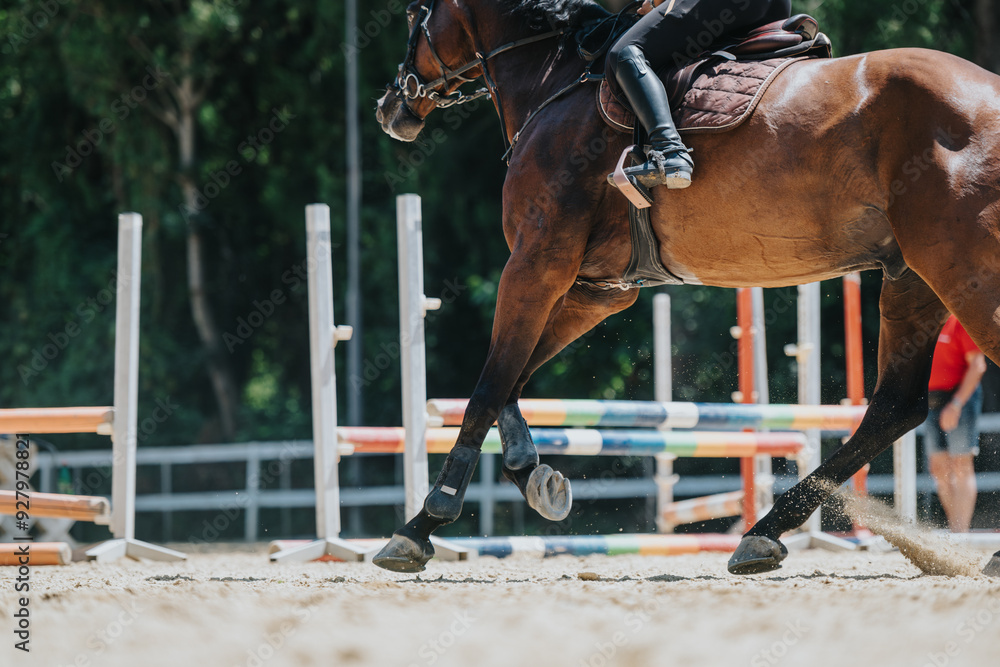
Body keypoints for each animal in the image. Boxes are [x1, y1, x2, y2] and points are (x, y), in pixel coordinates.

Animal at [373, 0, 1000, 577]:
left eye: (411, 15)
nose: (389, 107)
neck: (556, 83)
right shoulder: (597, 288)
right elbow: (512, 381)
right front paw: (534, 474)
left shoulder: (536, 262)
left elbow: (488, 386)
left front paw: (423, 522)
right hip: (912, 280)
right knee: (894, 408)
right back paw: (764, 534)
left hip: (961, 271)